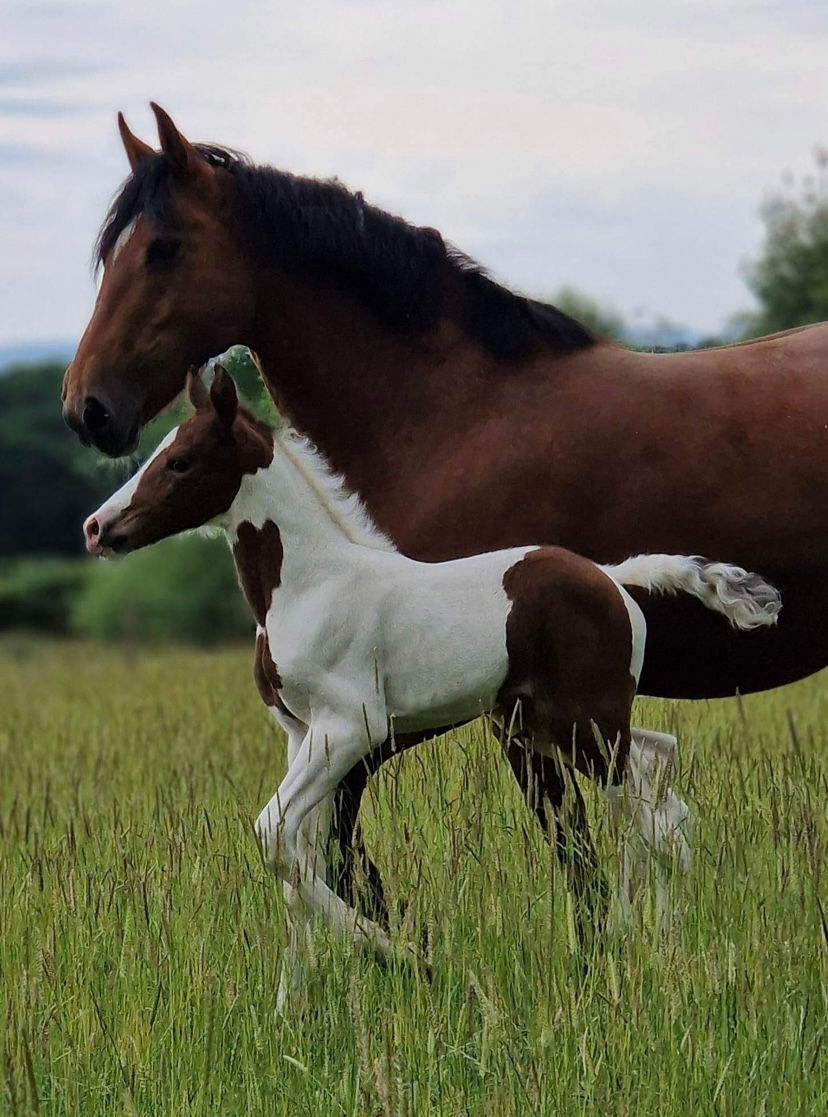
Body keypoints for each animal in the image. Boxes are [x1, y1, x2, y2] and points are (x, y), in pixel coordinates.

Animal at [82, 365, 780, 1004]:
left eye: (180, 461)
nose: (97, 528)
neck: (310, 584)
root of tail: (612, 576)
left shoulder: (347, 729)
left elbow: (274, 834)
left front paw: (405, 958)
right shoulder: (299, 734)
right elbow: (295, 857)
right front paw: (292, 1006)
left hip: (588, 726)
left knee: (662, 820)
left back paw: (659, 958)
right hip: (557, 727)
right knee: (659, 776)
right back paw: (640, 944)